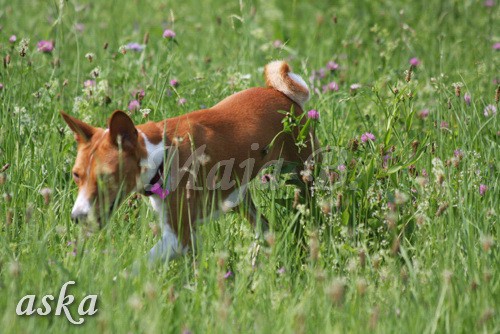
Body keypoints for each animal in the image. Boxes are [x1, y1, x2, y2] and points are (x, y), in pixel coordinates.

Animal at [60, 60, 314, 264]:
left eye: (107, 177)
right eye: (76, 175)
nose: (76, 217)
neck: (161, 155)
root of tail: (278, 92)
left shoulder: (178, 237)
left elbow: (133, 269)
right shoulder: (187, 237)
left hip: (305, 176)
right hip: (239, 200)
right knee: (266, 231)